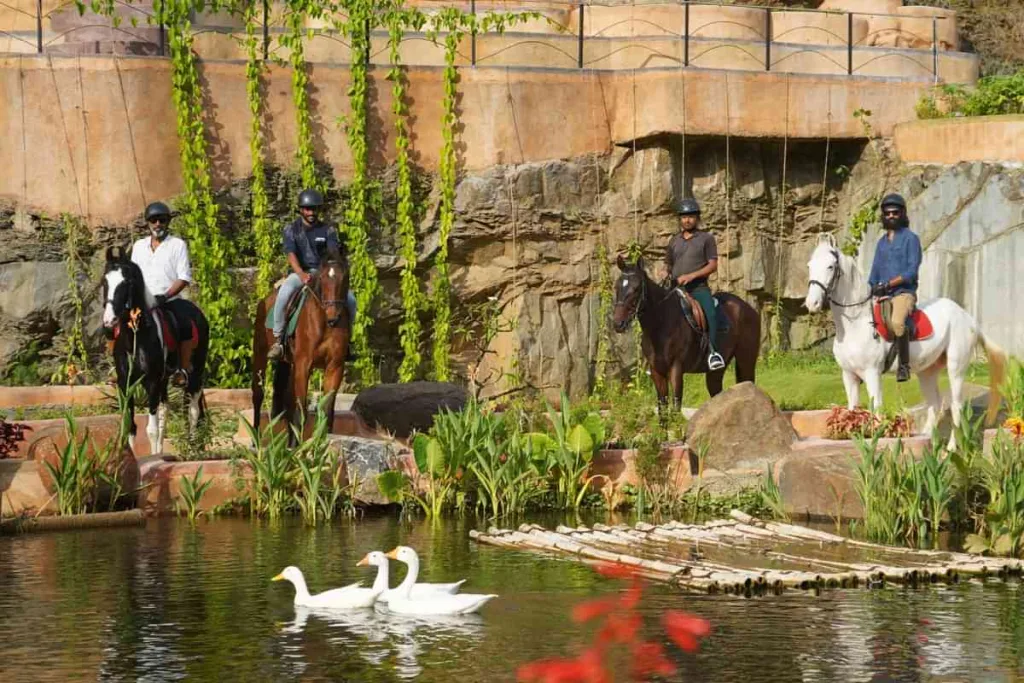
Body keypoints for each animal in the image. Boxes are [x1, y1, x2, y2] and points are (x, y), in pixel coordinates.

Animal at [101, 246, 209, 454]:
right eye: (105, 281)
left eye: (126, 282)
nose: (109, 321)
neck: (135, 338)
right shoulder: (126, 385)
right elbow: (131, 426)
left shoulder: (150, 382)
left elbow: (150, 429)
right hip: (164, 380)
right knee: (164, 413)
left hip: (194, 373)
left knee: (193, 411)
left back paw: (191, 448)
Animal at [251, 248, 352, 440]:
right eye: (322, 278)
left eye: (345, 278)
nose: (333, 317)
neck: (324, 323)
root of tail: (265, 300)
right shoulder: (304, 365)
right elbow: (300, 410)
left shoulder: (334, 366)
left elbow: (326, 410)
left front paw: (322, 443)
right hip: (260, 355)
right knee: (258, 395)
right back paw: (255, 439)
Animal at [606, 254, 761, 405]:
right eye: (617, 287)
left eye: (637, 288)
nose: (618, 323)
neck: (660, 324)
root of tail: (749, 308)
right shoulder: (657, 372)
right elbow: (662, 407)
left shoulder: (676, 369)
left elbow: (676, 405)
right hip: (716, 372)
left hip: (746, 360)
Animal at [802, 232, 1003, 450]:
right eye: (809, 265)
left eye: (830, 266)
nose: (812, 304)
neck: (856, 323)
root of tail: (967, 317)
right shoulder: (848, 375)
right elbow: (852, 410)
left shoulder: (872, 374)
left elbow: (876, 409)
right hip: (927, 372)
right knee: (935, 403)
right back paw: (929, 444)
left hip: (955, 367)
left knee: (956, 405)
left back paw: (950, 448)